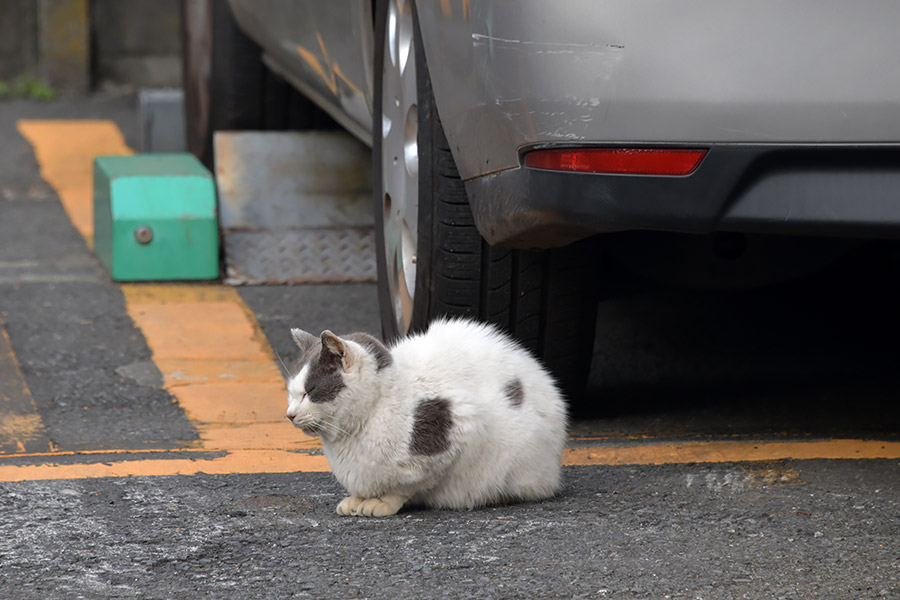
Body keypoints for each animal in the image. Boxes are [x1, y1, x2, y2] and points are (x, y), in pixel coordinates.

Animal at [284, 316, 568, 516]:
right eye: (291, 392)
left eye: (310, 391)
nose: (289, 414)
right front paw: (357, 499)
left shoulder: (462, 424)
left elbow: (407, 486)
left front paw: (381, 502)